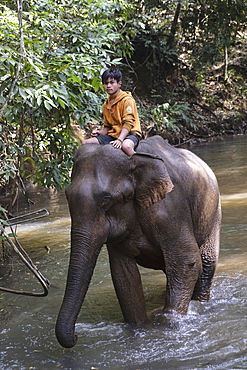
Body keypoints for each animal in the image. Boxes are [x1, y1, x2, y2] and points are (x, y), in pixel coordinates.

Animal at [56, 135, 222, 346]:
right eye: (67, 196)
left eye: (106, 200)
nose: (76, 336)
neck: (134, 160)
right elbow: (124, 273)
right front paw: (140, 329)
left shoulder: (170, 208)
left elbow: (186, 261)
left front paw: (167, 326)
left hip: (213, 212)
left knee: (206, 262)